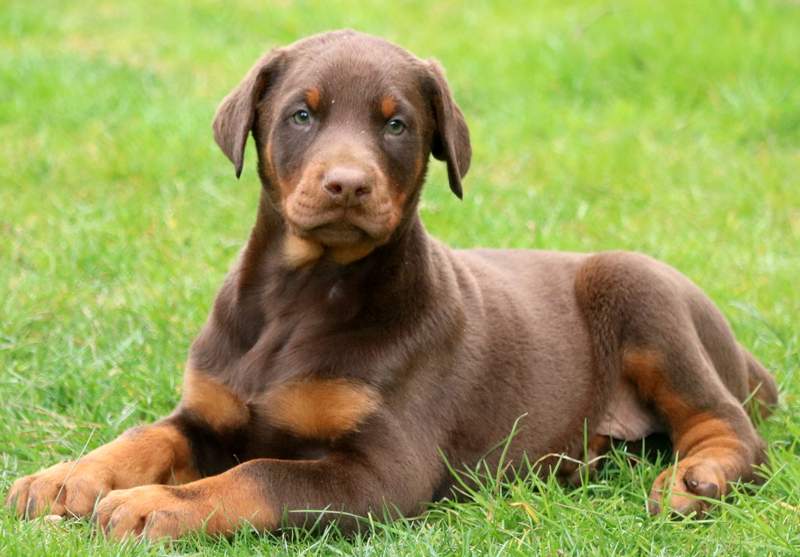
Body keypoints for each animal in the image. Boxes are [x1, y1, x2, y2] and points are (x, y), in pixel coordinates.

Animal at [6, 29, 780, 540]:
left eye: (398, 124)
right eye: (302, 114)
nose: (347, 184)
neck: (300, 294)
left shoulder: (385, 470)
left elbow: (260, 475)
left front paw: (156, 504)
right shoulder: (210, 409)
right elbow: (146, 437)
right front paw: (67, 478)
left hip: (643, 290)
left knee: (730, 427)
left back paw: (694, 482)